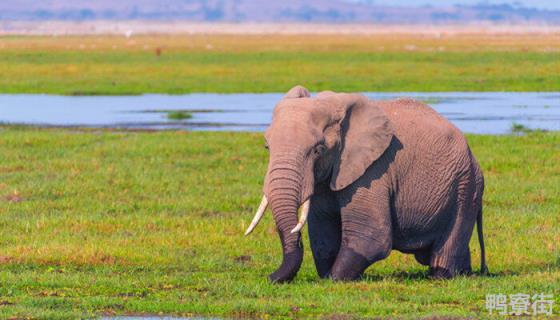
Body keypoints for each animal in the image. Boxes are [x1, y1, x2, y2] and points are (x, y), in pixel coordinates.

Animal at [245, 85, 486, 282]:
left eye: (318, 150)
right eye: (267, 146)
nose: (269, 277)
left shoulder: (374, 171)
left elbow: (370, 237)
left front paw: (334, 278)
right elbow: (323, 233)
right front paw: (326, 274)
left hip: (464, 187)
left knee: (447, 246)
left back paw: (442, 275)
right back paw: (465, 273)